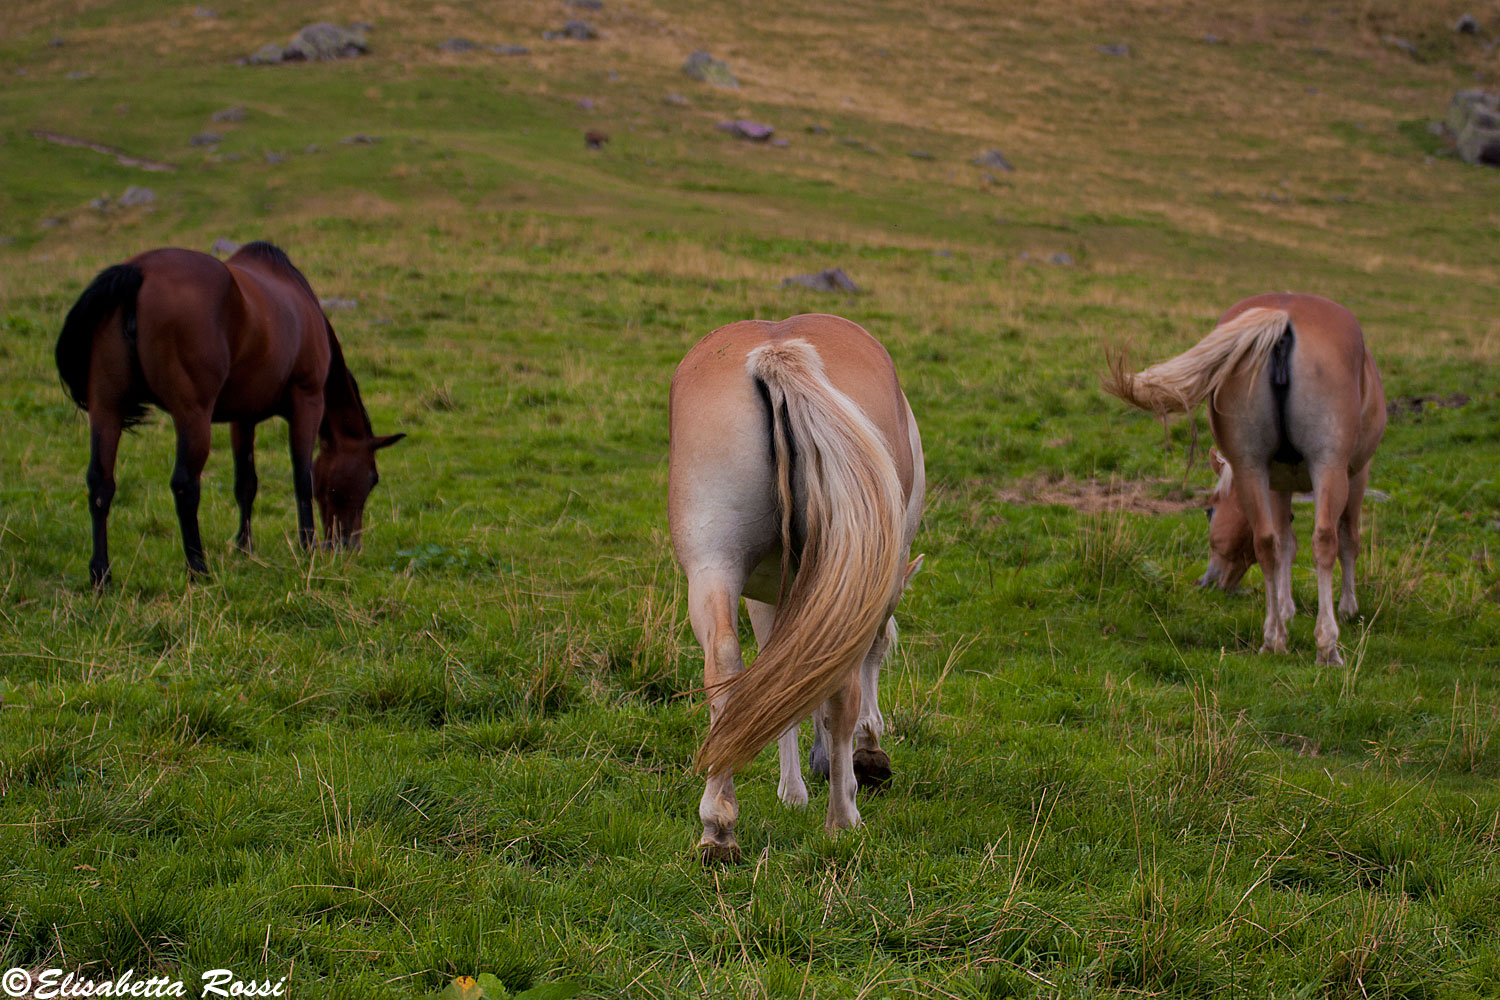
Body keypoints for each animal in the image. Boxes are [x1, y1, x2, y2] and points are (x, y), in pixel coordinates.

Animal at [54, 241, 404, 588]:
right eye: (372, 479)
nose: (349, 546)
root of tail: (137, 271)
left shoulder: (243, 418)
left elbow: (246, 483)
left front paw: (243, 548)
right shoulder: (308, 401)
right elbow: (302, 479)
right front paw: (307, 546)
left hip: (107, 408)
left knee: (101, 484)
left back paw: (101, 574)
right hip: (192, 415)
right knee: (185, 485)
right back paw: (198, 568)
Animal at [669, 313, 924, 863]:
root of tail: (777, 353)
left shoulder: (772, 594)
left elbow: (778, 675)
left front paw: (792, 790)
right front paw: (862, 759)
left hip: (713, 566)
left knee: (725, 667)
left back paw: (718, 826)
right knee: (843, 689)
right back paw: (843, 818)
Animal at [1104, 293, 1385, 664]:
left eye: (1209, 511)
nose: (1206, 582)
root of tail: (1283, 317)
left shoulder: (1276, 482)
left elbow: (1285, 543)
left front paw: (1285, 609)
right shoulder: (1356, 472)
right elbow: (1348, 538)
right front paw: (1349, 608)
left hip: (1251, 466)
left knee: (1266, 543)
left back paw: (1273, 638)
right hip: (1328, 466)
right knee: (1325, 539)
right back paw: (1327, 645)